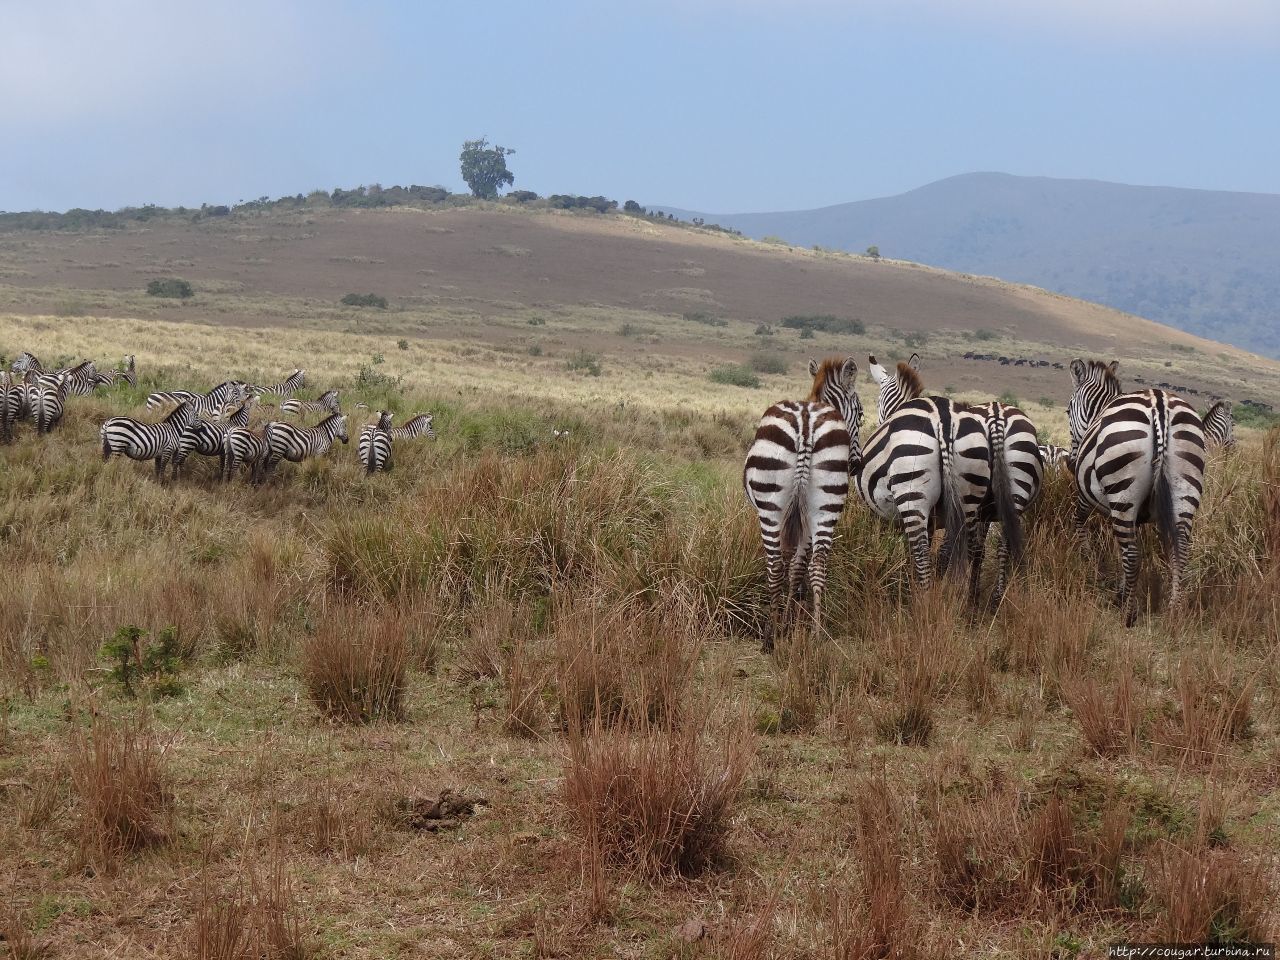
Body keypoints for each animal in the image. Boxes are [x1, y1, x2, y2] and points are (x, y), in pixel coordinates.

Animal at [742, 358, 860, 650]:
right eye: (862, 414)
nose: (857, 465)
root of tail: (806, 422)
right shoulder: (804, 519)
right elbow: (797, 567)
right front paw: (792, 623)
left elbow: (789, 565)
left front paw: (785, 624)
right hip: (826, 502)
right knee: (818, 564)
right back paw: (816, 634)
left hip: (771, 507)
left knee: (774, 566)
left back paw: (769, 638)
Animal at [1064, 358, 1203, 627]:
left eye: (1067, 411)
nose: (1071, 463)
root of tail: (1160, 406)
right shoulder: (1136, 515)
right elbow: (1122, 547)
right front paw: (1121, 589)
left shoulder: (1086, 497)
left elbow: (1081, 524)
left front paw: (1089, 563)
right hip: (1185, 488)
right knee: (1179, 549)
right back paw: (1173, 611)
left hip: (1122, 493)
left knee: (1132, 554)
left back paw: (1128, 613)